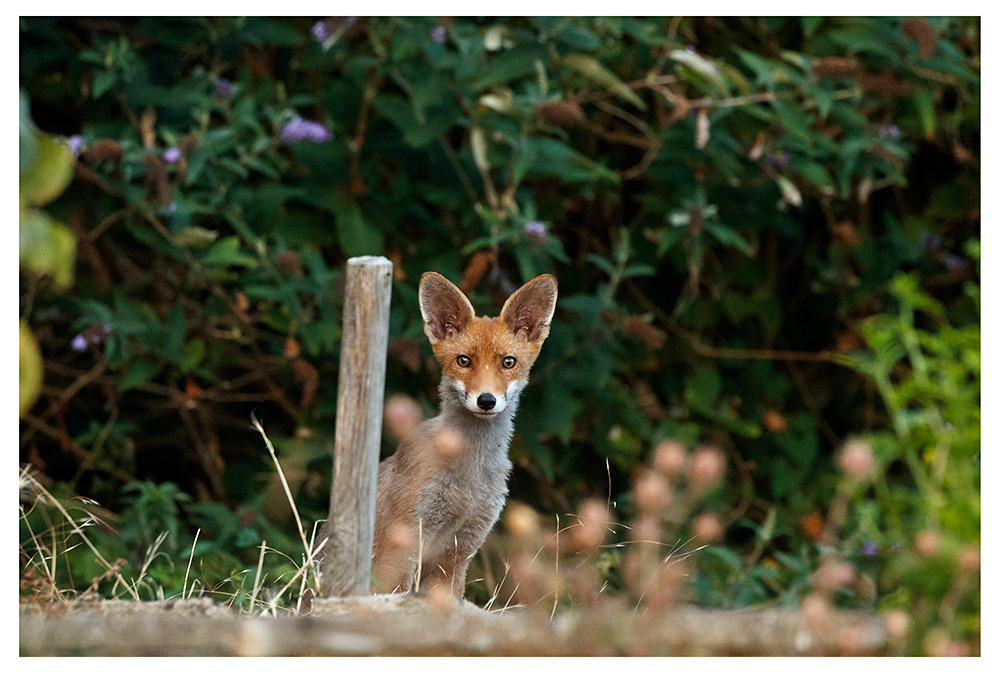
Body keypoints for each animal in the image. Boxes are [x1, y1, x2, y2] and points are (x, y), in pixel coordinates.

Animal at [315, 271, 557, 600]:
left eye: (508, 362)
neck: (469, 475)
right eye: (464, 361)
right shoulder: (402, 545)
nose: (486, 401)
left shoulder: (459, 552)